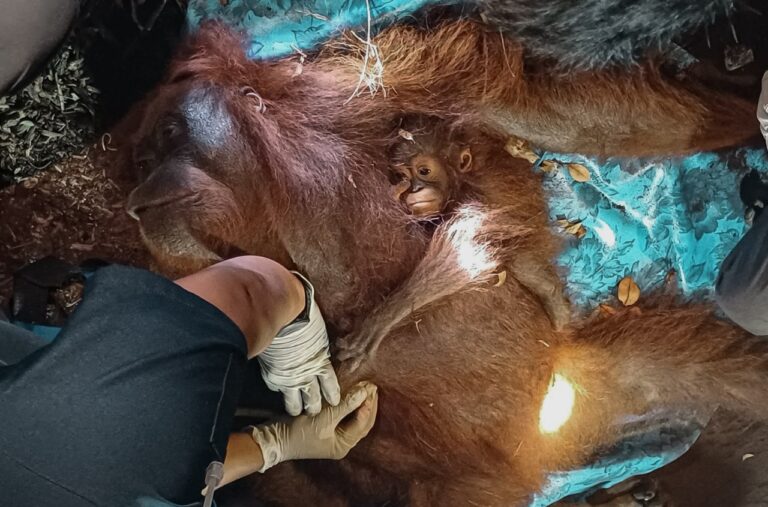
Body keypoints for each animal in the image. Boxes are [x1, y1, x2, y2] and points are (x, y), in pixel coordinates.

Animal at [124, 21, 768, 507]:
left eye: (173, 131)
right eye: (148, 156)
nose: (143, 187)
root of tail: (560, 388)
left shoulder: (355, 87)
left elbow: (505, 108)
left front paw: (749, 113)